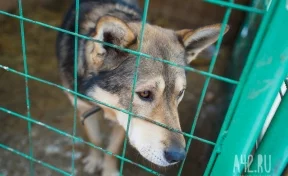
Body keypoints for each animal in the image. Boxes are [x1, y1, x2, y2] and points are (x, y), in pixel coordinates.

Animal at [55, 0, 227, 175]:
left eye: (180, 93)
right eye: (145, 93)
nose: (178, 156)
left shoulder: (122, 121)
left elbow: (112, 150)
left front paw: (108, 171)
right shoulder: (83, 108)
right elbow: (95, 139)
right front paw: (94, 161)